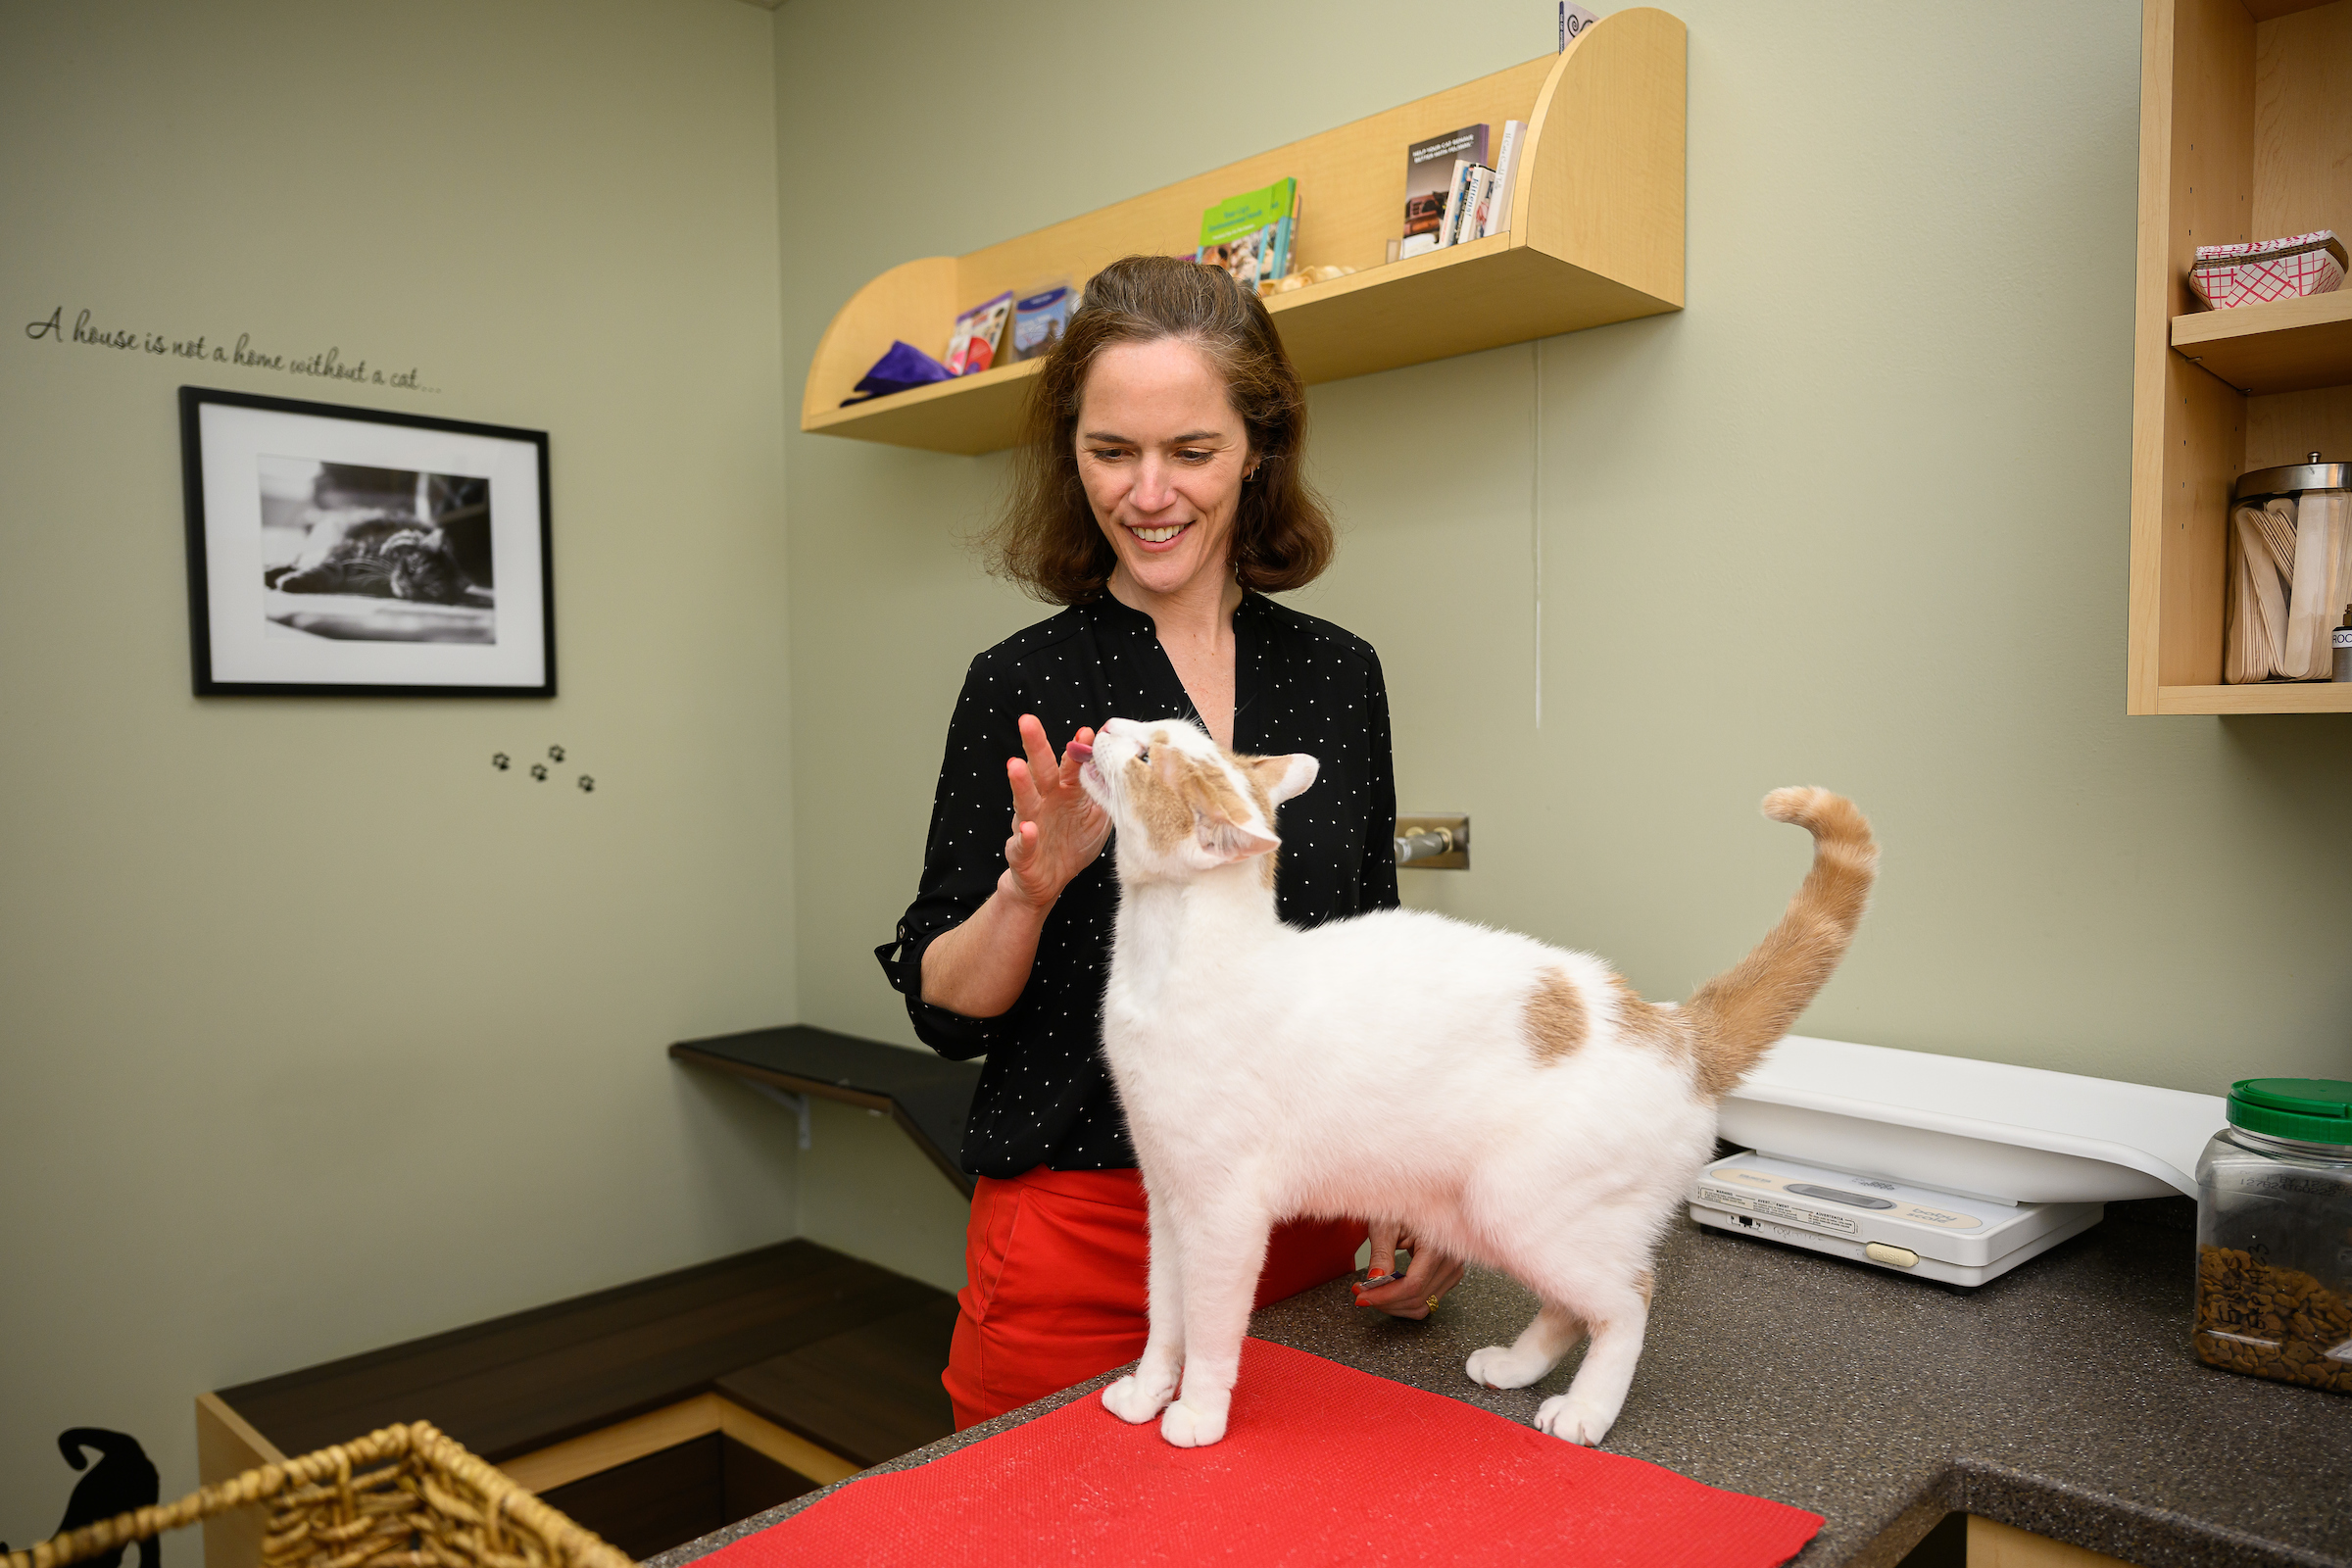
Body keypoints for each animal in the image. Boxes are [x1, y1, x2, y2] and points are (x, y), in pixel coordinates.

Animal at [1077, 719, 1872, 1457]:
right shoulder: (1168, 1204)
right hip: (1490, 1218)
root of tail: (1672, 1025)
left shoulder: (1225, 1218)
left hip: (1519, 1208)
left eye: (1147, 754)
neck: (1158, 969)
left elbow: (1210, 1332)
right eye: (1148, 729)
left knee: (1628, 1300)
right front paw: (1147, 1394)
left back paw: (1586, 1411)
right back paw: (1518, 1367)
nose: (1108, 727)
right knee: (1572, 1307)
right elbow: (1164, 1321)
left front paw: (1197, 1414)